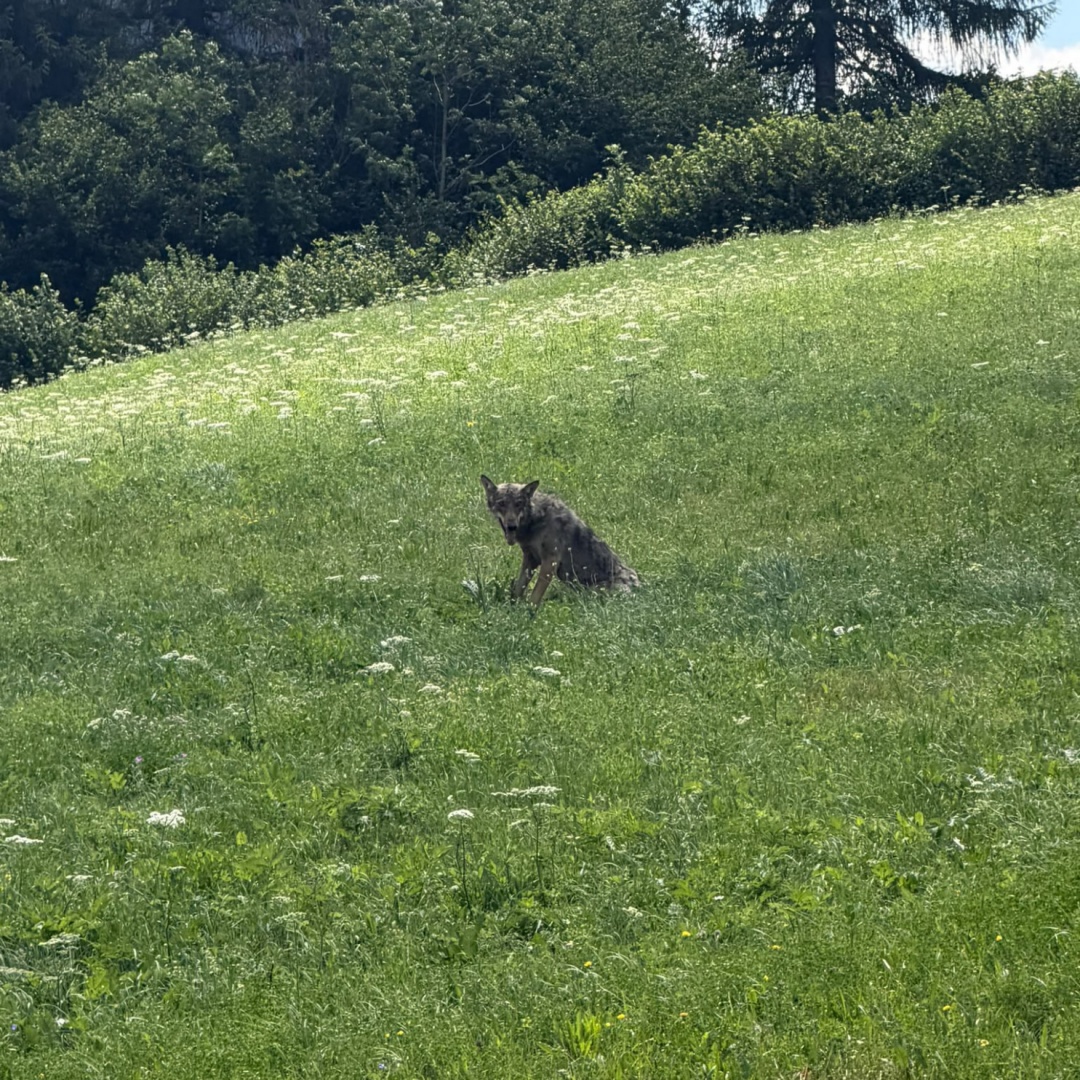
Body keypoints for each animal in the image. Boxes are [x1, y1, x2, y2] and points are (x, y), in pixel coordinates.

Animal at [480, 476, 639, 606]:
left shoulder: (550, 562)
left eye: (519, 504)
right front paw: (512, 608)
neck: (536, 519)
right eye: (501, 503)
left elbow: (535, 597)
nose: (512, 526)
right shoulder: (530, 559)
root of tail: (641, 588)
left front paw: (529, 614)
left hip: (593, 590)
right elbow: (518, 589)